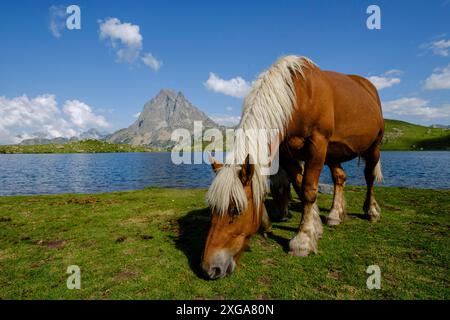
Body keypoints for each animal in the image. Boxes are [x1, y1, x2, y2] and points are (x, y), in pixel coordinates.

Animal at [202, 55, 384, 280]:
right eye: (212, 209)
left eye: (235, 210)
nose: (210, 268)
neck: (298, 95)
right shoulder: (287, 152)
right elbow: (299, 187)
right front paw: (315, 227)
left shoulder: (318, 144)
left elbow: (308, 191)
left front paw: (302, 240)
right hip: (334, 152)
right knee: (339, 177)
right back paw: (335, 214)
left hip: (373, 146)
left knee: (369, 177)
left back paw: (371, 211)